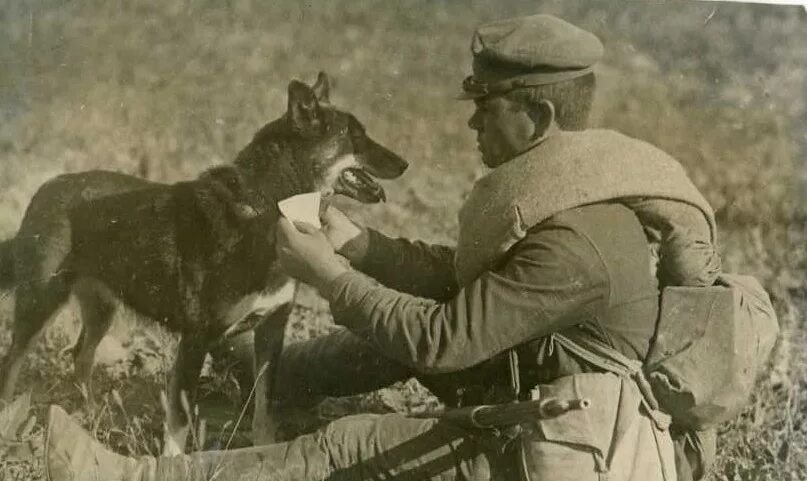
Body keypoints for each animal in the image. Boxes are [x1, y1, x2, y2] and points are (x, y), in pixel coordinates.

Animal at [0, 73, 408, 452]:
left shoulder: (271, 332)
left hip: (102, 307)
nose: (405, 163)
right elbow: (180, 421)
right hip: (40, 303)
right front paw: (173, 463)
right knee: (12, 363)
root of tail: (46, 188)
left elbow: (263, 408)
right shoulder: (195, 340)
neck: (264, 207)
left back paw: (88, 417)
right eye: (356, 136)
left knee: (81, 356)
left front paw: (263, 450)